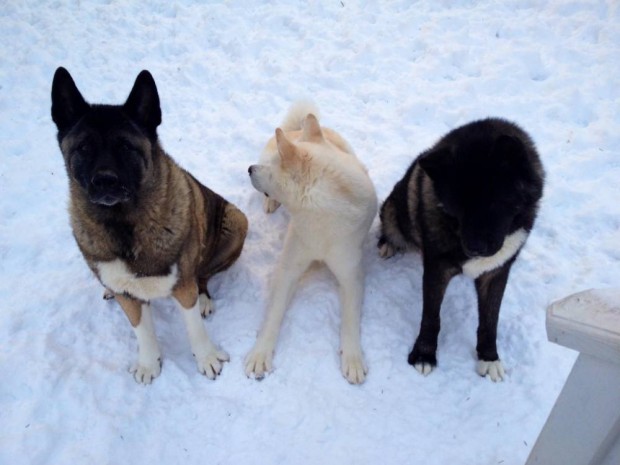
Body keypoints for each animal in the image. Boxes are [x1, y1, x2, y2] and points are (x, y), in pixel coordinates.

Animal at [50, 66, 248, 384]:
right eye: (84, 147)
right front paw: (148, 364)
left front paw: (207, 358)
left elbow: (194, 326)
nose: (105, 181)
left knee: (203, 274)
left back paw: (205, 298)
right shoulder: (129, 295)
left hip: (236, 222)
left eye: (125, 146)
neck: (124, 224)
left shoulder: (182, 283)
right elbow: (141, 330)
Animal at [245, 103, 376, 382]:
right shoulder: (288, 268)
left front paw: (353, 358)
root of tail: (297, 129)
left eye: (272, 169)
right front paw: (260, 354)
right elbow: (273, 314)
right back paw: (271, 202)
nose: (249, 169)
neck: (322, 220)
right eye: (265, 166)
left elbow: (350, 320)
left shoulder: (351, 275)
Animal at [378, 118, 544, 380]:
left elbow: (490, 321)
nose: (474, 249)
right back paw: (387, 244)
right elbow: (431, 317)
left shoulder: (497, 273)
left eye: (493, 203)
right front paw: (424, 355)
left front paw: (489, 358)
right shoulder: (436, 270)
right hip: (393, 213)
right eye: (456, 208)